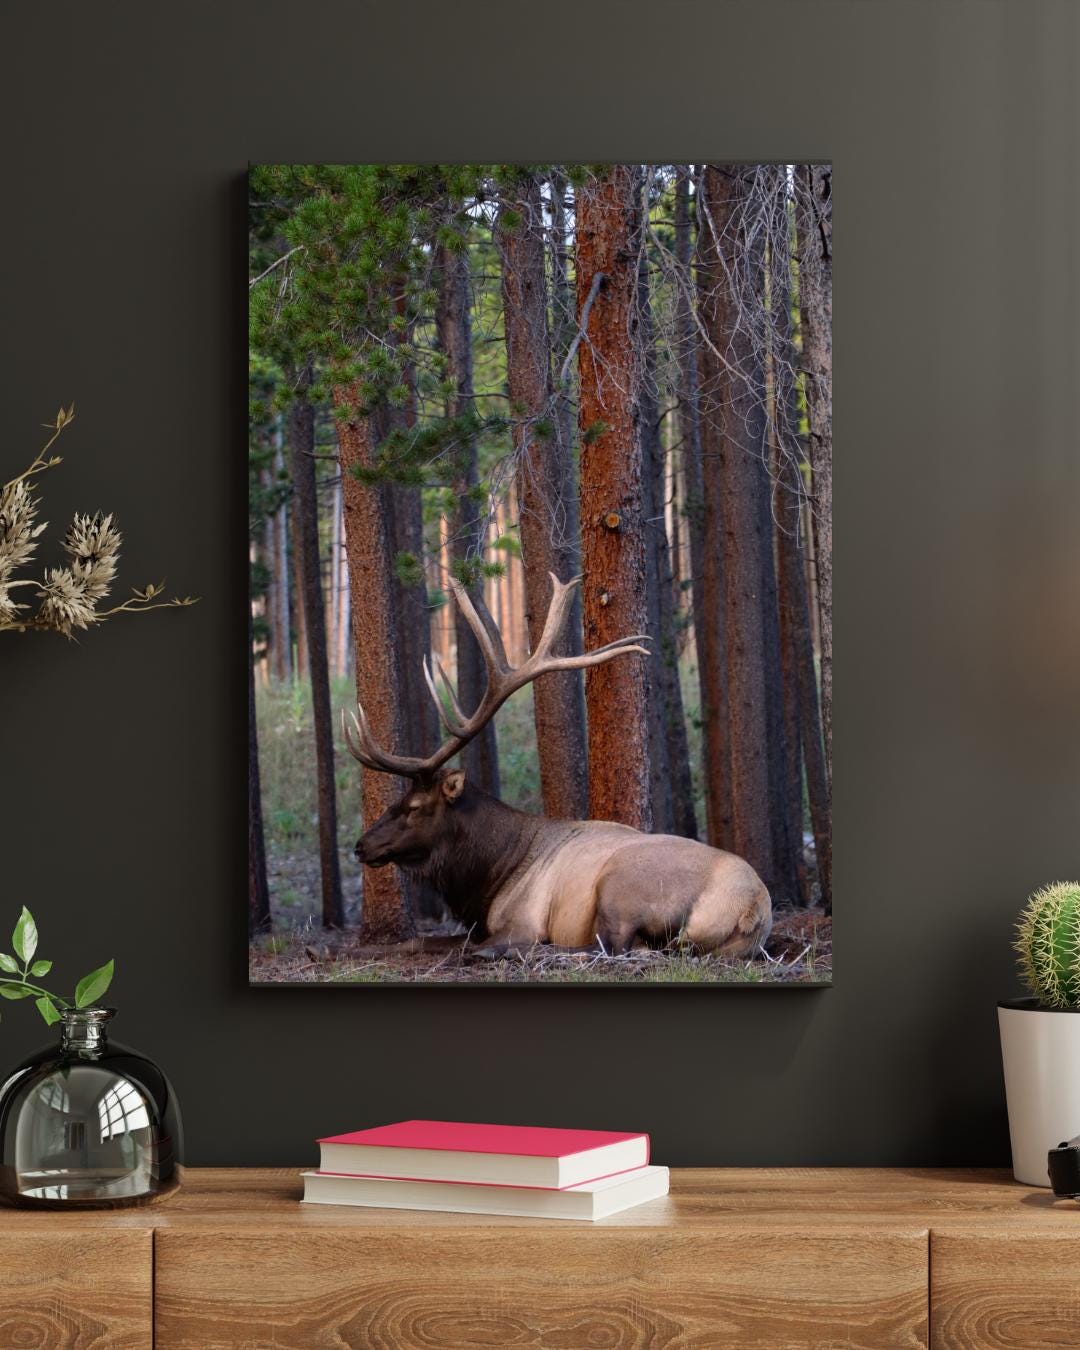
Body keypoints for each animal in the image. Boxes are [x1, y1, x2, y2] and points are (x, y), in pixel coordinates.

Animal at [343, 573, 772, 959]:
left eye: (413, 807)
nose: (361, 846)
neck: (489, 877)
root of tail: (753, 906)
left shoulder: (520, 921)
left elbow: (462, 944)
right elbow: (419, 941)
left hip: (621, 886)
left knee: (613, 947)